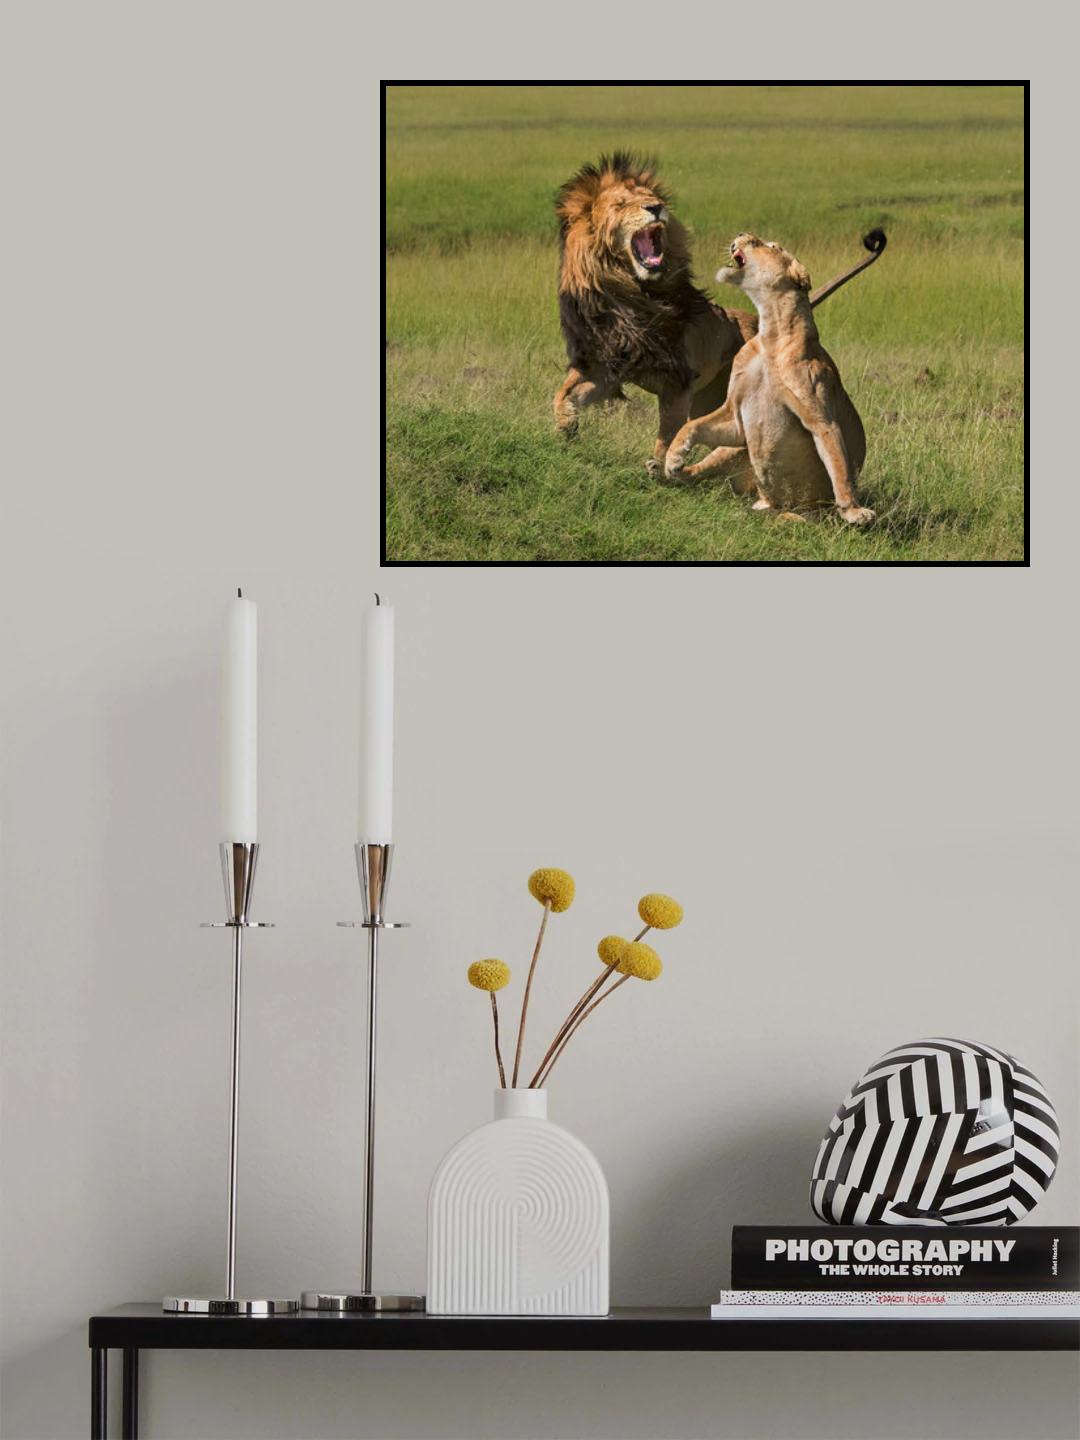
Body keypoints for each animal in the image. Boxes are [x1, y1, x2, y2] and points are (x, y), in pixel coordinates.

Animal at [553, 153, 885, 481]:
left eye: (652, 197)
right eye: (621, 204)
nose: (656, 207)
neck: (633, 298)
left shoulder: (679, 381)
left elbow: (667, 432)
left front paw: (659, 468)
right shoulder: (602, 365)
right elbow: (563, 394)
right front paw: (565, 428)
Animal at [664, 233, 875, 523]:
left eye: (771, 246)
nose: (741, 234)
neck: (771, 335)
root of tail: (763, 501)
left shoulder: (821, 416)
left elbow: (838, 464)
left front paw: (853, 510)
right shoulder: (735, 417)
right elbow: (691, 425)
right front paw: (673, 457)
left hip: (804, 507)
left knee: (798, 514)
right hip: (733, 450)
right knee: (701, 474)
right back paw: (663, 471)